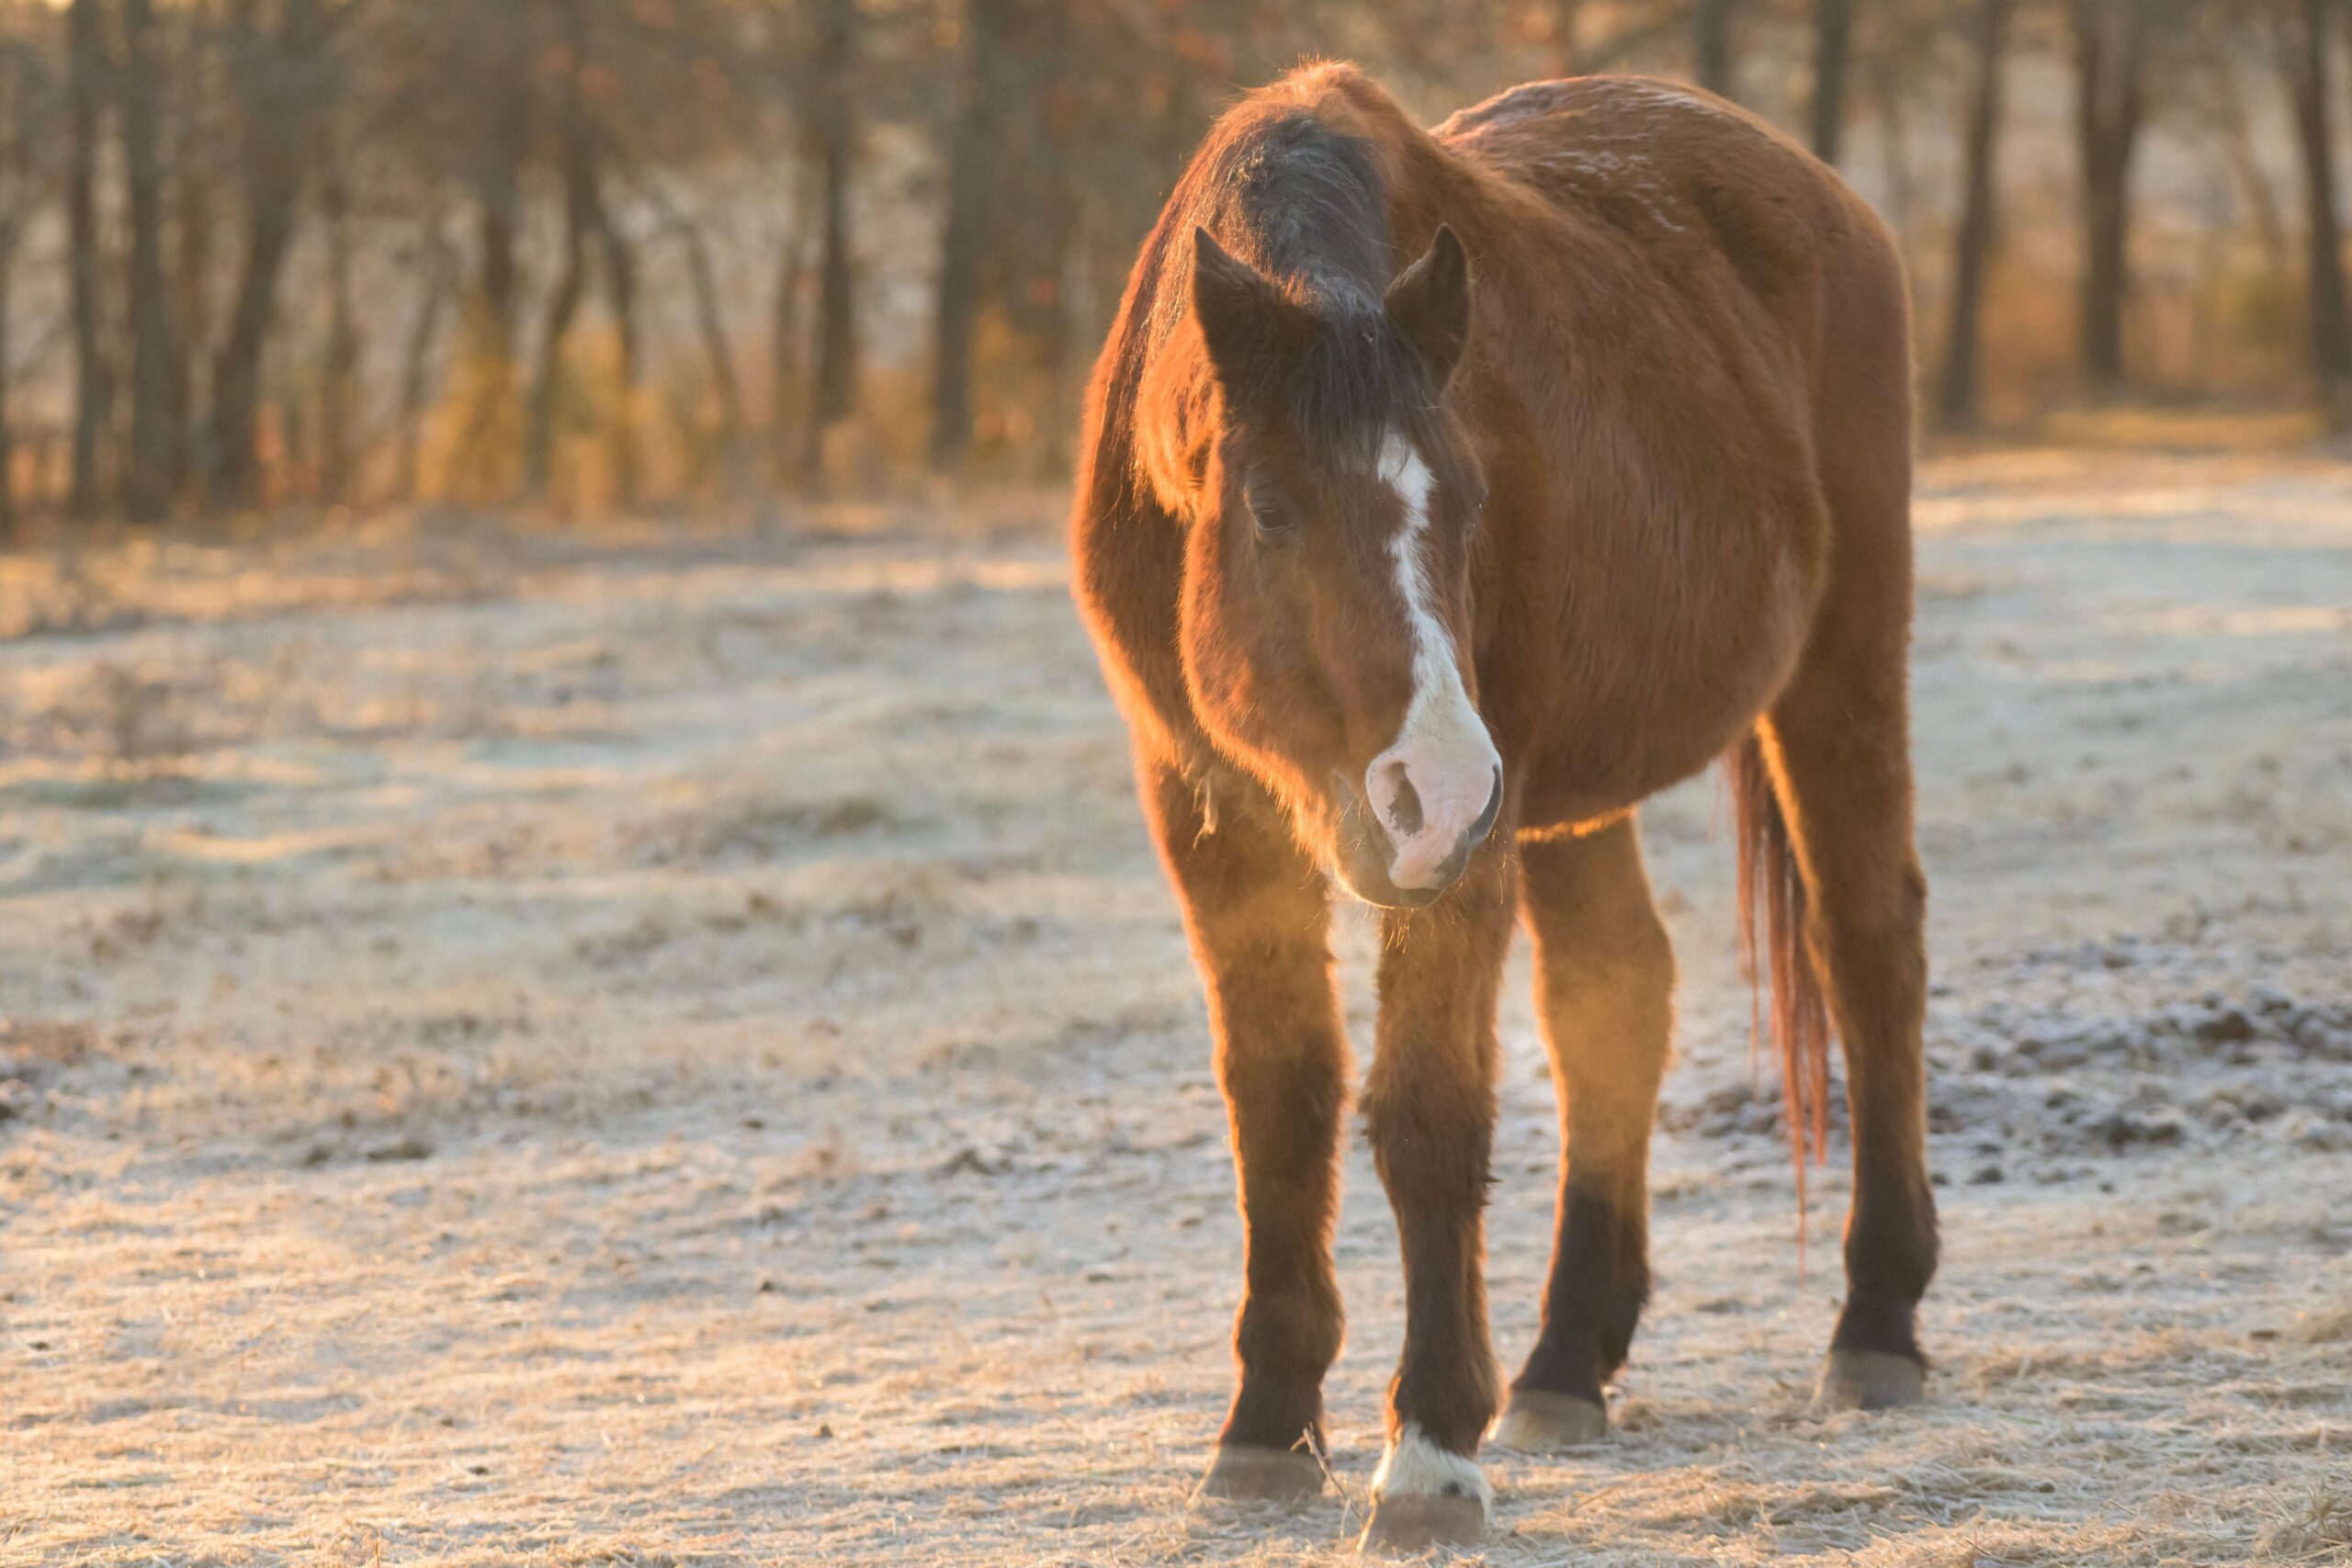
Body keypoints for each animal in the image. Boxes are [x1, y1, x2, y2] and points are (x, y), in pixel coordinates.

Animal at [1069, 61, 1935, 1551]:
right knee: (1617, 999)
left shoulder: (1472, 831)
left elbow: (1427, 1114)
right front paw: (1264, 1426)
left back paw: (1874, 1325)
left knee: (1868, 946)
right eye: (1270, 510)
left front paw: (1426, 1457)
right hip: (1557, 803)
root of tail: (1821, 196)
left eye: (1471, 502)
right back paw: (1565, 1362)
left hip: (1832, 667)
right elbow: (1281, 1099)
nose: (1434, 784)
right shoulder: (1205, 809)